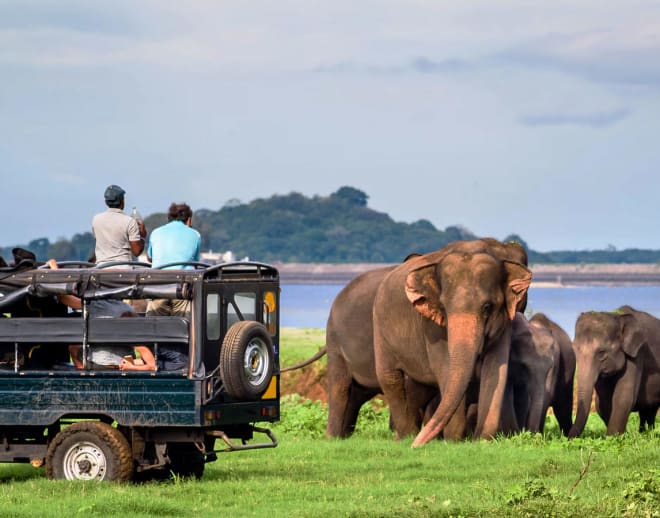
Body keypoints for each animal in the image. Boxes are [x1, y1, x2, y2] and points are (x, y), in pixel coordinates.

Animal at [372, 240, 532, 446]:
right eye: (443, 307)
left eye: (487, 307)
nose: (416, 446)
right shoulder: (432, 327)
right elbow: (445, 369)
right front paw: (454, 441)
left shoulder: (504, 322)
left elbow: (496, 369)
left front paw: (481, 440)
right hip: (380, 329)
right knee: (390, 377)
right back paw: (406, 437)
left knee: (418, 387)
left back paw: (406, 436)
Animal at [568, 306, 660, 436]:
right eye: (574, 350)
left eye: (601, 353)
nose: (567, 437)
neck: (617, 316)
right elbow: (602, 403)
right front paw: (622, 435)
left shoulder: (637, 354)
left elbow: (623, 397)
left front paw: (614, 437)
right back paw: (644, 433)